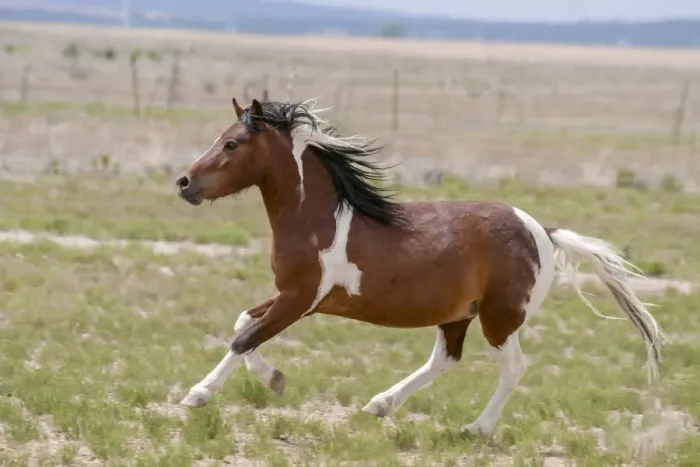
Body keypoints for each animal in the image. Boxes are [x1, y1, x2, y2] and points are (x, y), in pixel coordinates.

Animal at [174, 97, 667, 436]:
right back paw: (380, 404)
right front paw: (275, 379)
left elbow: (244, 338)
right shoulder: (292, 296)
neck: (319, 220)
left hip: (500, 317)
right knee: (446, 358)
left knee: (513, 367)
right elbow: (243, 324)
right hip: (459, 314)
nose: (183, 182)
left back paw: (475, 429)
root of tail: (541, 231)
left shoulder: (301, 300)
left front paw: (197, 394)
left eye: (232, 143)